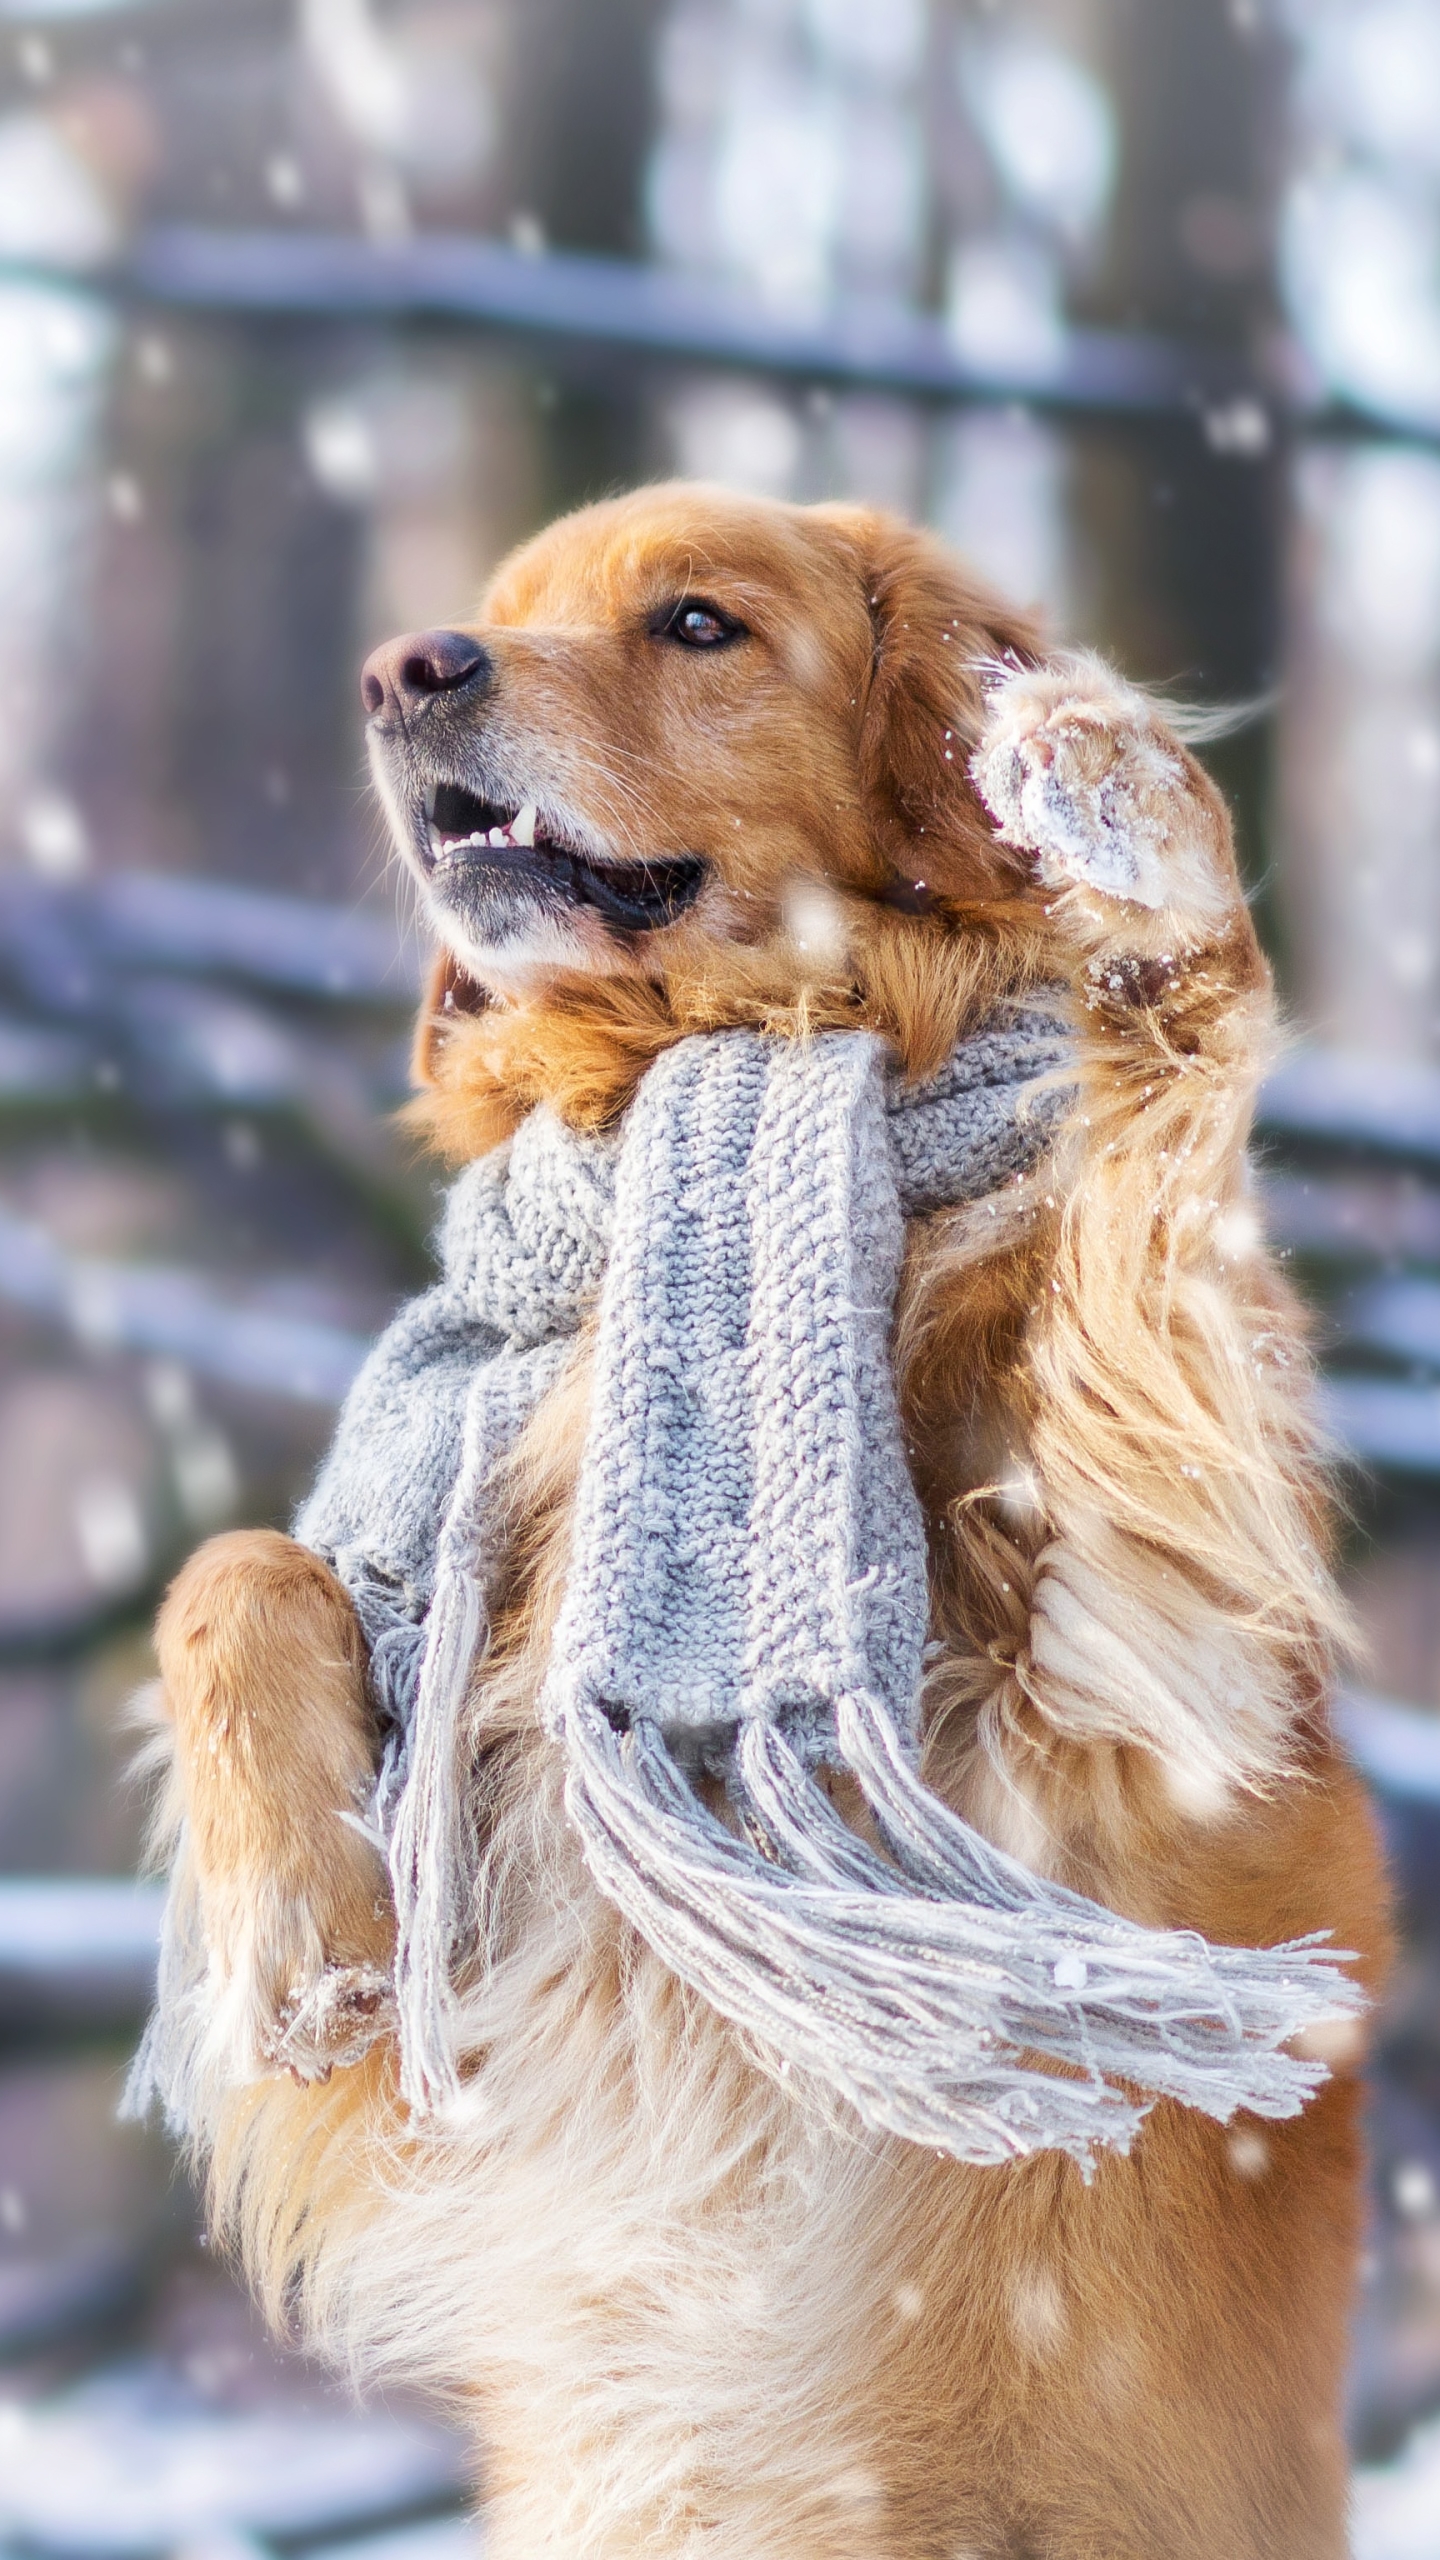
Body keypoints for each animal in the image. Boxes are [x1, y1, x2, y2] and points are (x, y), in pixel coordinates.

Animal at [142, 483, 1383, 2560]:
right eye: (496, 610)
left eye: (699, 624)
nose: (403, 673)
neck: (712, 1065)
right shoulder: (477, 2027)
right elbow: (233, 1573)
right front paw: (307, 1941)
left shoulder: (1128, 1657)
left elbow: (1149, 1170)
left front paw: (1113, 799)